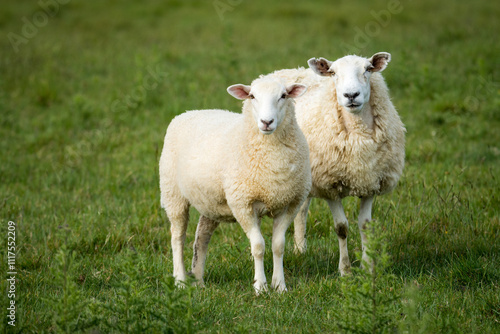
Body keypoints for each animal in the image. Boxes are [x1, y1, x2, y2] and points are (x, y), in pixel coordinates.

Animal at [158, 77, 310, 294]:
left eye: (283, 96)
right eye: (252, 96)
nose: (266, 122)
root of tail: (188, 112)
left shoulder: (288, 203)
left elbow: (278, 246)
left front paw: (280, 286)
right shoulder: (242, 204)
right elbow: (258, 246)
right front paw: (261, 287)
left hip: (210, 202)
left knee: (201, 237)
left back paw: (199, 279)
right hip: (173, 193)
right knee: (178, 237)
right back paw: (180, 280)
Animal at [264, 53, 404, 276]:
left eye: (368, 69)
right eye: (334, 73)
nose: (351, 95)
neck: (358, 136)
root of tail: (292, 70)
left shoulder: (371, 181)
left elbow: (365, 225)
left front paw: (367, 267)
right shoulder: (329, 185)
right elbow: (341, 227)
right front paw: (345, 270)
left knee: (302, 210)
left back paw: (300, 249)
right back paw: (299, 250)